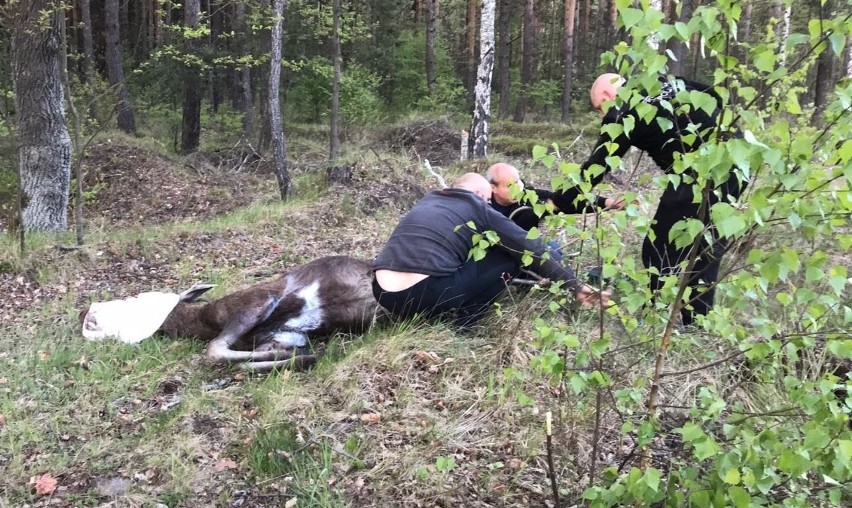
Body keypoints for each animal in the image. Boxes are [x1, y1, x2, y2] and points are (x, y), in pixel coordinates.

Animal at [85, 256, 382, 372]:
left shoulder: (255, 302)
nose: (85, 313)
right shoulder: (285, 335)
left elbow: (214, 350)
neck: (204, 320)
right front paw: (294, 356)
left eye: (135, 300)